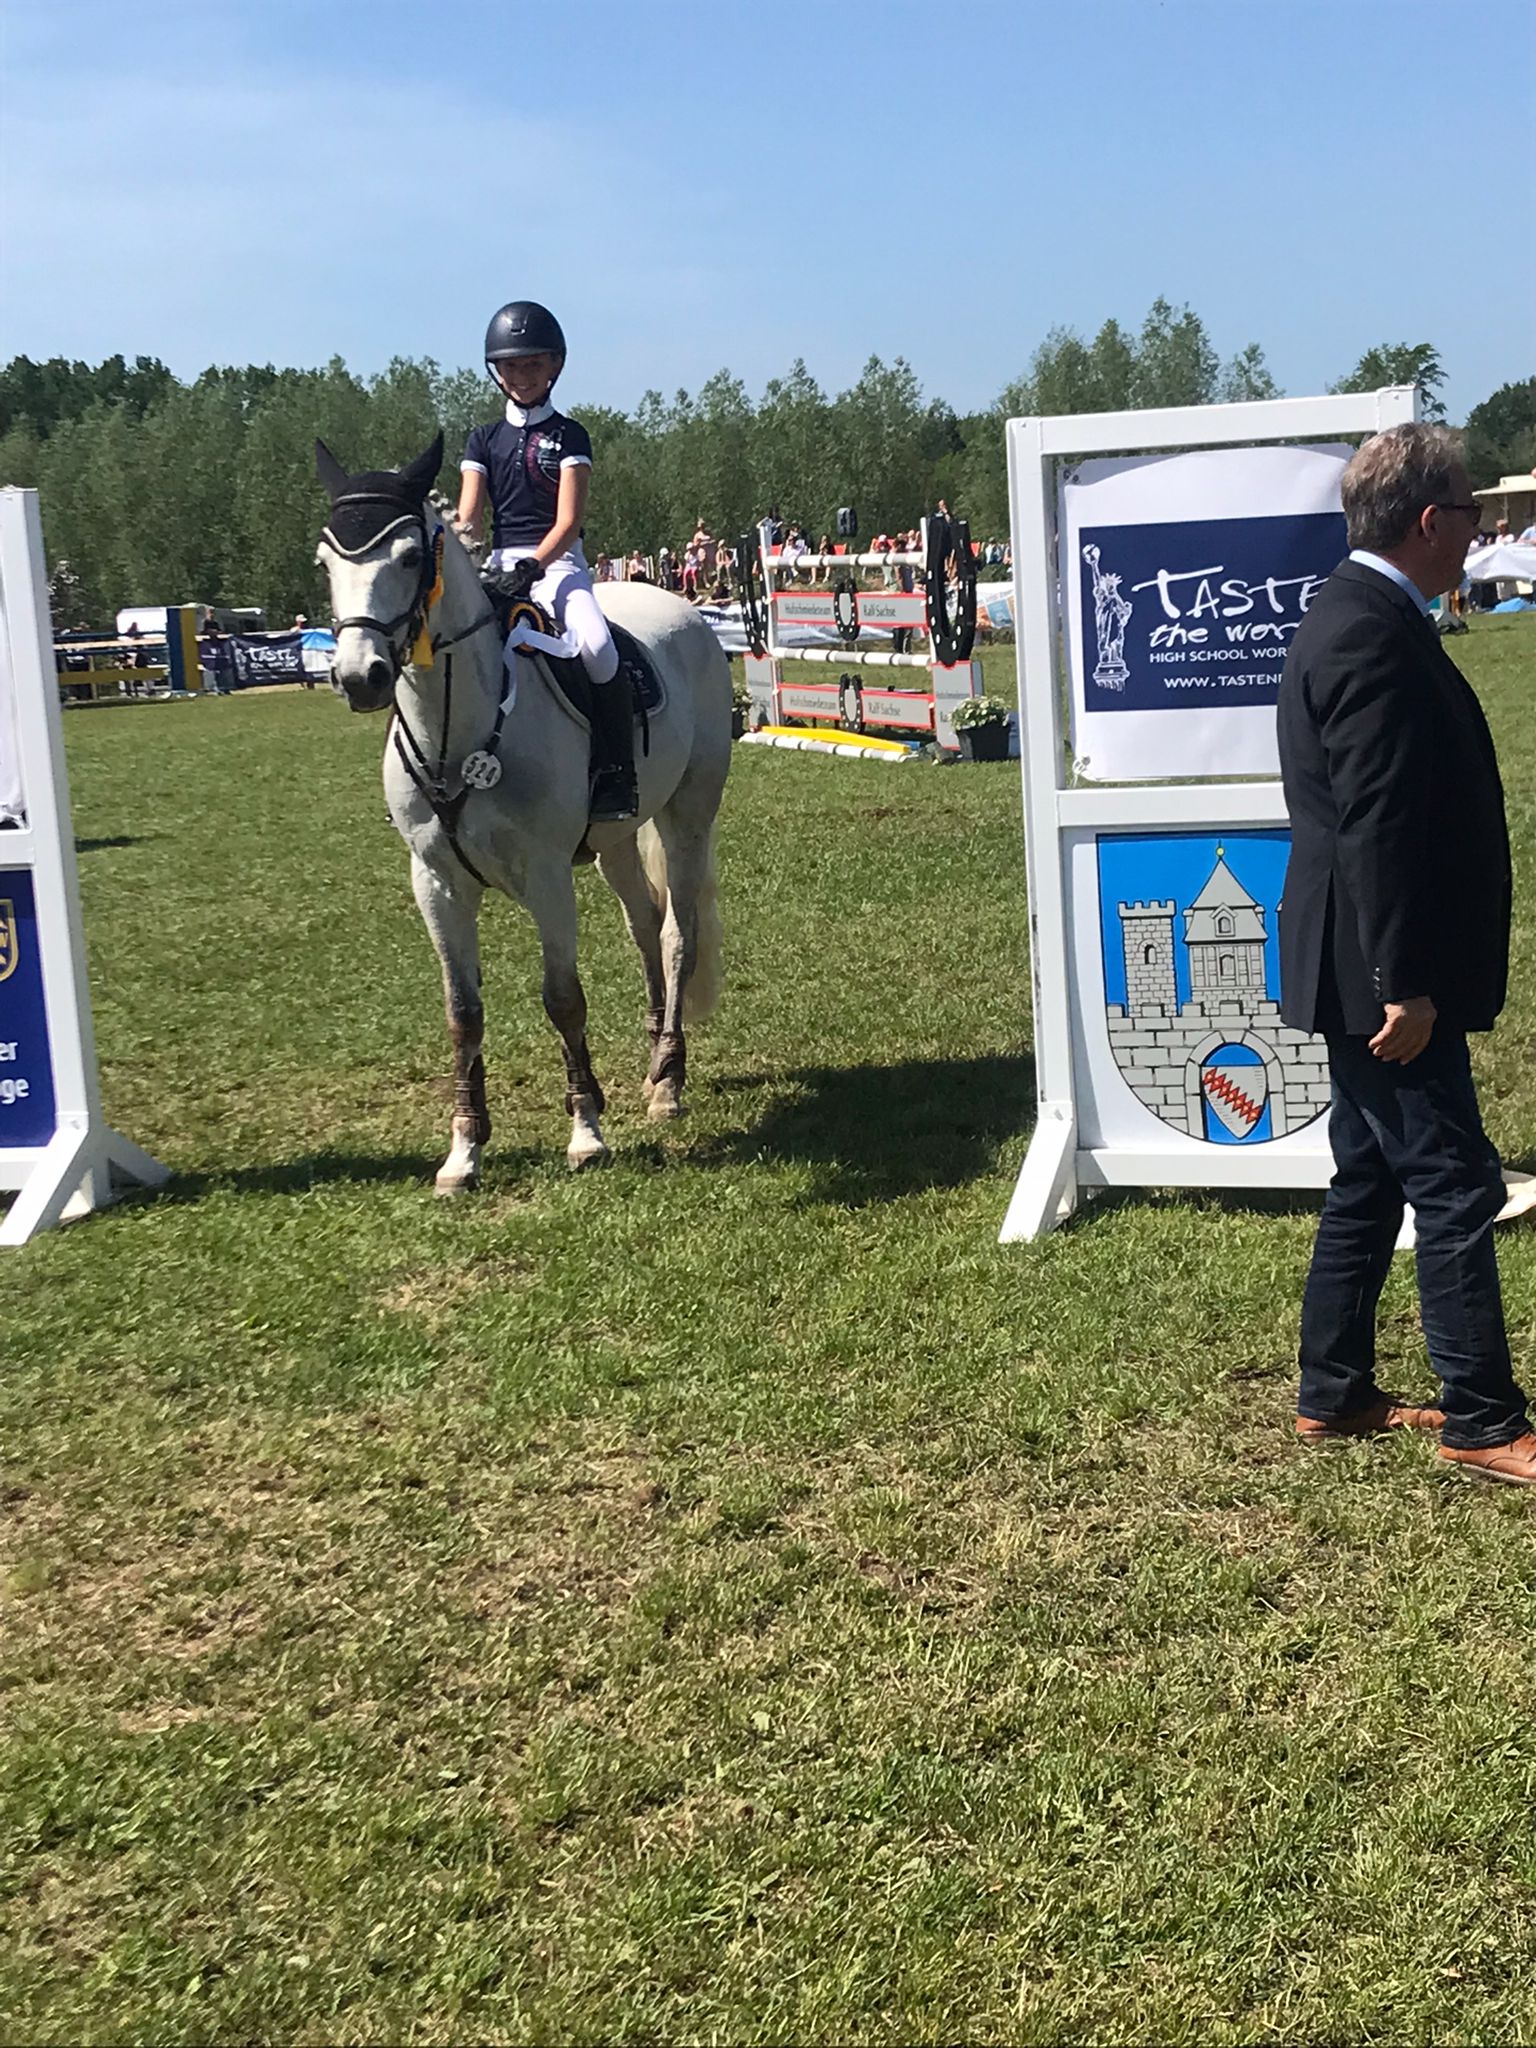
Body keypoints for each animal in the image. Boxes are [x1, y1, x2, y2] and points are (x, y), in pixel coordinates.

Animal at [314, 433, 732, 1186]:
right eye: (326, 561)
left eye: (410, 556)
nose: (361, 677)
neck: (458, 733)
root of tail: (681, 608)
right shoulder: (436, 883)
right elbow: (463, 1012)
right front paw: (464, 1151)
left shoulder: (546, 876)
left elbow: (562, 997)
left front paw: (586, 1133)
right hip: (617, 842)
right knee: (643, 927)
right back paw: (652, 1062)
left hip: (687, 816)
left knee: (676, 934)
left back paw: (669, 1080)